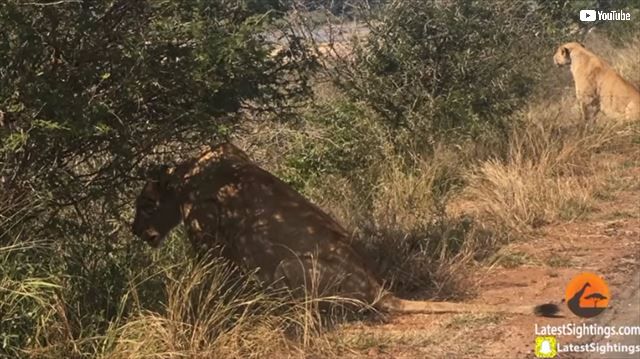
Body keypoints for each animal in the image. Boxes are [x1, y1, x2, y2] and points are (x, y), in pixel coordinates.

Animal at [131, 143, 560, 318]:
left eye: (144, 204)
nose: (135, 231)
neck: (184, 178)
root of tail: (379, 289)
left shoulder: (208, 241)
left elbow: (211, 280)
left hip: (289, 267)